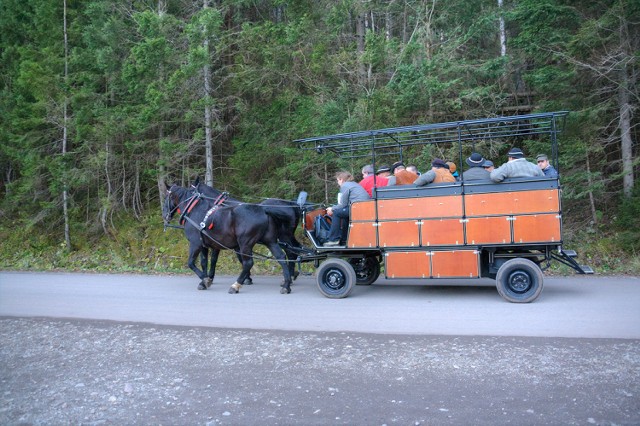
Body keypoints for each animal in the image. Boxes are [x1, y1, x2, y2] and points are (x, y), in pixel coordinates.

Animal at [165, 183, 296, 292]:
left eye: (166, 198)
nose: (165, 215)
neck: (195, 210)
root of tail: (263, 210)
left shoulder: (195, 243)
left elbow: (191, 263)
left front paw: (206, 279)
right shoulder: (205, 245)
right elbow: (204, 262)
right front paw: (205, 280)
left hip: (245, 243)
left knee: (249, 262)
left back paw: (236, 285)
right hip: (270, 241)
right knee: (282, 257)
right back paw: (287, 284)